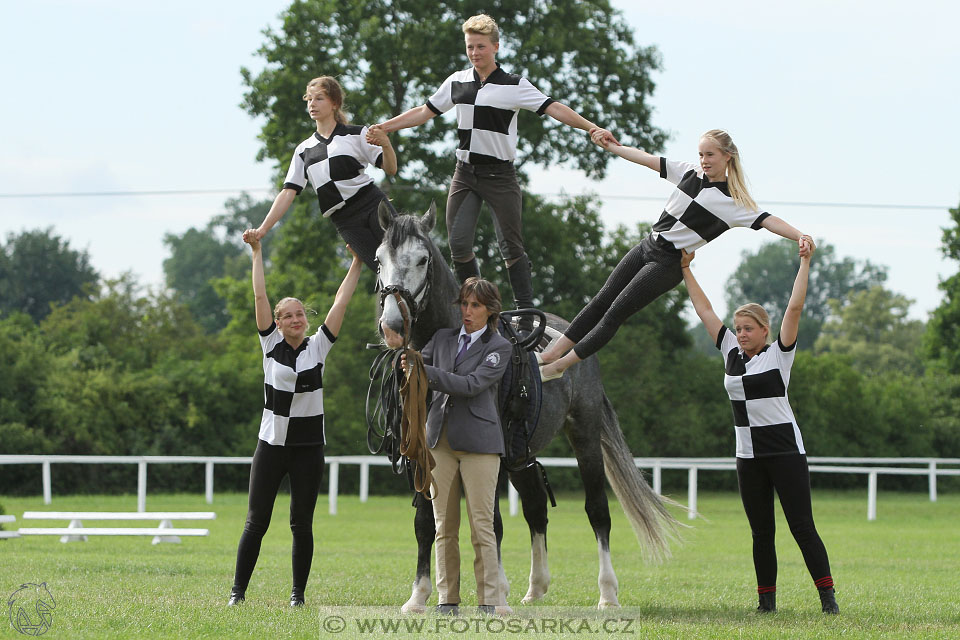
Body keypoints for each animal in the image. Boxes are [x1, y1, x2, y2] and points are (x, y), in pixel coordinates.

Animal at [372, 204, 680, 608]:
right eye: (379, 259)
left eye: (423, 259)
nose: (392, 324)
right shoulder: (422, 455)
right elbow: (427, 521)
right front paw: (419, 596)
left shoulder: (489, 455)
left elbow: (491, 522)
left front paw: (495, 591)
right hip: (522, 455)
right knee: (536, 508)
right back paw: (536, 588)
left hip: (583, 433)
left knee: (597, 510)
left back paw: (607, 593)